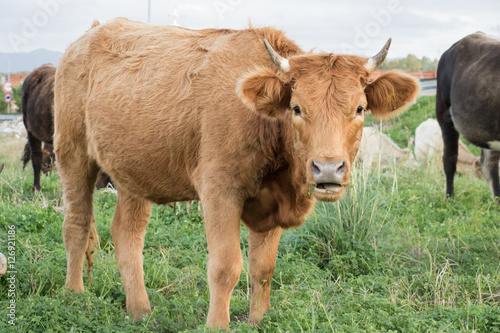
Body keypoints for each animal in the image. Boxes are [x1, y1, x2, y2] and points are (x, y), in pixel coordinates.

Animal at [53, 18, 418, 330]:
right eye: (297, 108)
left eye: (359, 108)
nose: (328, 168)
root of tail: (88, 35)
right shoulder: (219, 191)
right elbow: (225, 266)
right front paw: (217, 325)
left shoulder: (272, 205)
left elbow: (263, 268)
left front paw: (258, 320)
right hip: (72, 153)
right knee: (76, 223)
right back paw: (74, 295)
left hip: (134, 173)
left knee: (127, 233)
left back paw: (140, 310)